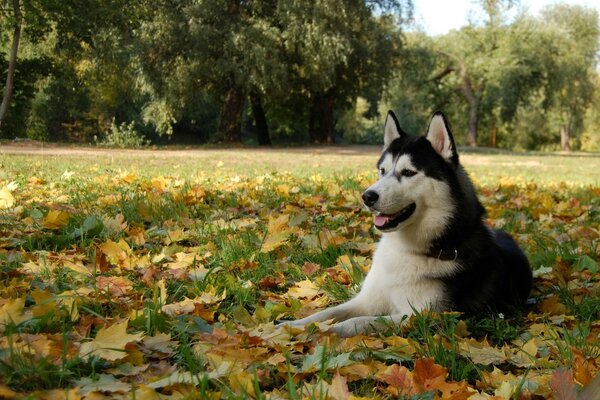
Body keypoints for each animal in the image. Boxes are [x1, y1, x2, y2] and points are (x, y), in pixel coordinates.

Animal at [284, 110, 532, 338]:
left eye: (409, 172)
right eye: (382, 171)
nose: (367, 196)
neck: (407, 249)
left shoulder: (425, 315)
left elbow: (361, 321)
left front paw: (328, 332)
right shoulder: (367, 301)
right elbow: (326, 313)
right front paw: (293, 326)